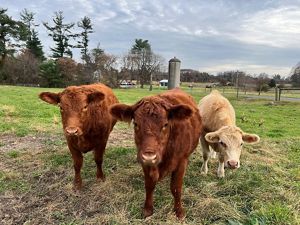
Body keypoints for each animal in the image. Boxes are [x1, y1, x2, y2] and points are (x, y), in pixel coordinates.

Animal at [109, 88, 202, 218]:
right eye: (136, 124)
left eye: (165, 124)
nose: (149, 156)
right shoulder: (146, 163)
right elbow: (149, 185)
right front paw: (148, 209)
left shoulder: (182, 161)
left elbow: (176, 188)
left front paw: (179, 211)